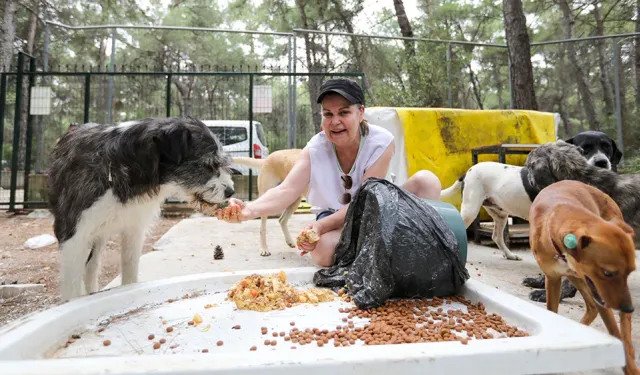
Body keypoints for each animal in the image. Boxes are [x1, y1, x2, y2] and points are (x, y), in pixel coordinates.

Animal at [48, 117, 235, 302]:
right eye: (208, 165)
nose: (230, 192)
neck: (124, 166)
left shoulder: (133, 229)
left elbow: (130, 274)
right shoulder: (73, 236)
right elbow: (71, 290)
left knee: (91, 267)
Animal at [528, 181, 636, 374]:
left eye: (630, 271)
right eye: (608, 273)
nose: (629, 307)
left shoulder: (601, 296)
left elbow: (616, 333)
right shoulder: (553, 279)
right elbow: (552, 311)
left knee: (617, 318)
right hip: (577, 279)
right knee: (592, 307)